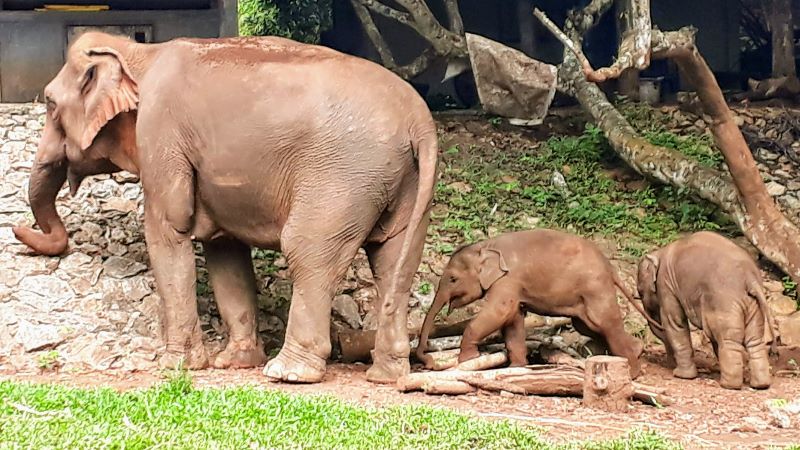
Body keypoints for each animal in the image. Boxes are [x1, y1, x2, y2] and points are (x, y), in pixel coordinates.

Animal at [12, 31, 438, 384]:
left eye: (49, 103)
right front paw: (233, 363)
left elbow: (167, 229)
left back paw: (287, 372)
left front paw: (177, 365)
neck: (139, 53)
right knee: (393, 261)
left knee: (308, 252)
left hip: (341, 178)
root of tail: (420, 121)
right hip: (400, 182)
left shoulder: (161, 133)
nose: (19, 230)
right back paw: (386, 375)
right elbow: (224, 250)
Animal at [412, 229, 656, 376]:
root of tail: (611, 267)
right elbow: (513, 319)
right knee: (589, 326)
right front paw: (517, 367)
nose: (429, 361)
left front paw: (467, 359)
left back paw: (632, 371)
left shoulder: (509, 279)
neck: (486, 245)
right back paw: (634, 351)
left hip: (595, 289)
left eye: (453, 279)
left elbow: (500, 312)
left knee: (605, 322)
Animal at [636, 230, 776, 388]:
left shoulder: (665, 284)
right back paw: (760, 385)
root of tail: (751, 278)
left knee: (726, 338)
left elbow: (674, 323)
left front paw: (681, 375)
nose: (670, 364)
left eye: (640, 292)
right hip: (752, 304)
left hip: (723, 302)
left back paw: (728, 385)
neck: (659, 252)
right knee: (754, 340)